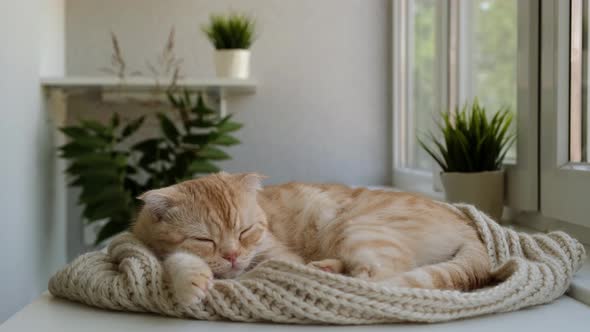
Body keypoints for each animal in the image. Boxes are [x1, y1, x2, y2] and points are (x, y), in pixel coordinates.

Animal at [132, 172, 492, 304]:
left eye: (245, 231)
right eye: (205, 240)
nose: (232, 255)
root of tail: (465, 223)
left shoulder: (278, 257)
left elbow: (253, 272)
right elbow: (176, 257)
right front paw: (191, 278)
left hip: (356, 229)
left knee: (375, 281)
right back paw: (325, 269)